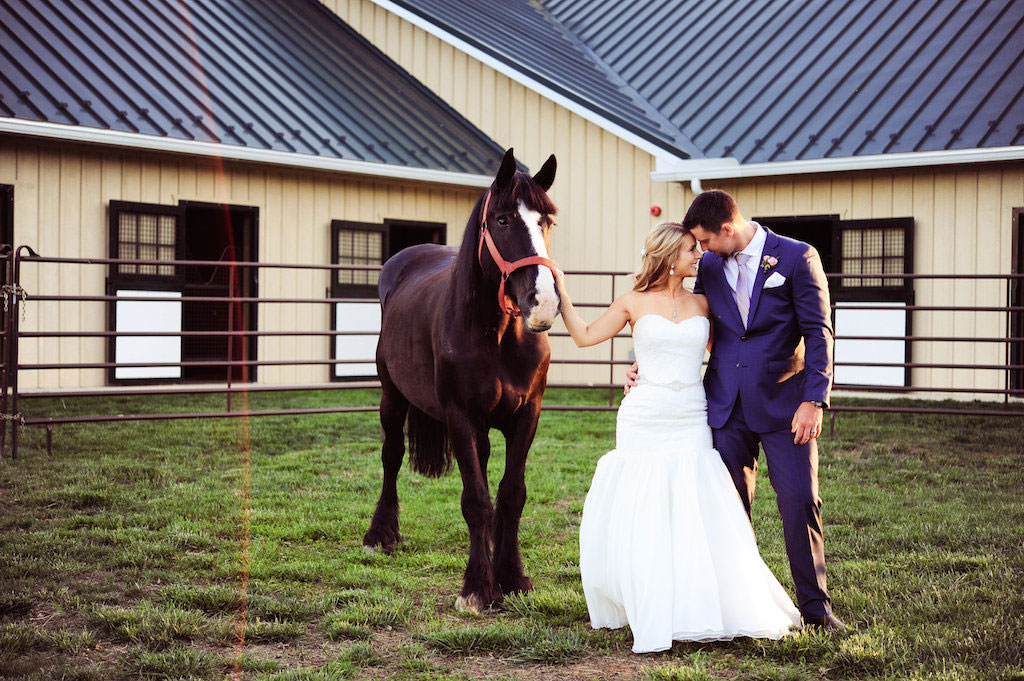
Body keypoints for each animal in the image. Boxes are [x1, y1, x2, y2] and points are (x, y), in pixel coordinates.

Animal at [364, 148, 561, 610]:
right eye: (503, 220)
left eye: (547, 221)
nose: (543, 302)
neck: (498, 336)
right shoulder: (460, 418)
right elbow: (475, 499)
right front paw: (477, 587)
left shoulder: (527, 416)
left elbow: (510, 494)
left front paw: (512, 577)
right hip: (392, 397)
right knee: (392, 456)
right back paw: (381, 534)